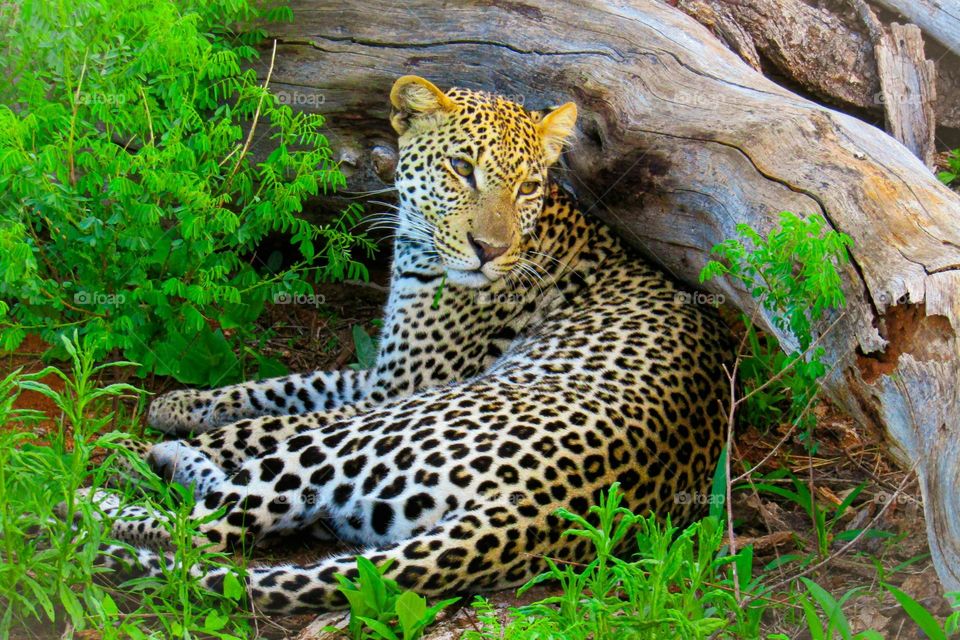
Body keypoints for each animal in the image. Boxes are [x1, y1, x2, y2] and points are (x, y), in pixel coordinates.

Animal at [88, 76, 732, 614]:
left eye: (527, 186)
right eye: (461, 167)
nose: (490, 250)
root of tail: (540, 511)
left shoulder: (398, 389)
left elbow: (262, 422)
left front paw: (150, 435)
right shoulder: (382, 374)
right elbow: (284, 386)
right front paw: (178, 403)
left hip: (367, 434)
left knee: (205, 529)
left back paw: (100, 493)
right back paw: (170, 458)